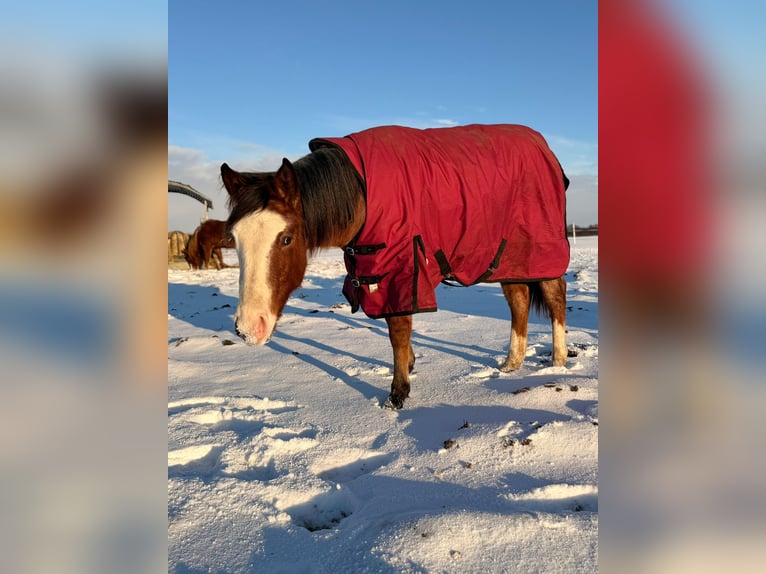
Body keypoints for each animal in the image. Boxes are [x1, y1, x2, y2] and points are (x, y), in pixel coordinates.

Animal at [222, 124, 569, 409]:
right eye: (233, 238)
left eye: (286, 239)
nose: (248, 328)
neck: (361, 193)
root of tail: (545, 148)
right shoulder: (372, 267)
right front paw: (409, 367)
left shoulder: (402, 265)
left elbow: (398, 329)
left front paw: (397, 393)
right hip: (508, 257)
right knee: (519, 299)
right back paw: (511, 364)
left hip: (540, 248)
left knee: (555, 294)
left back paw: (558, 360)